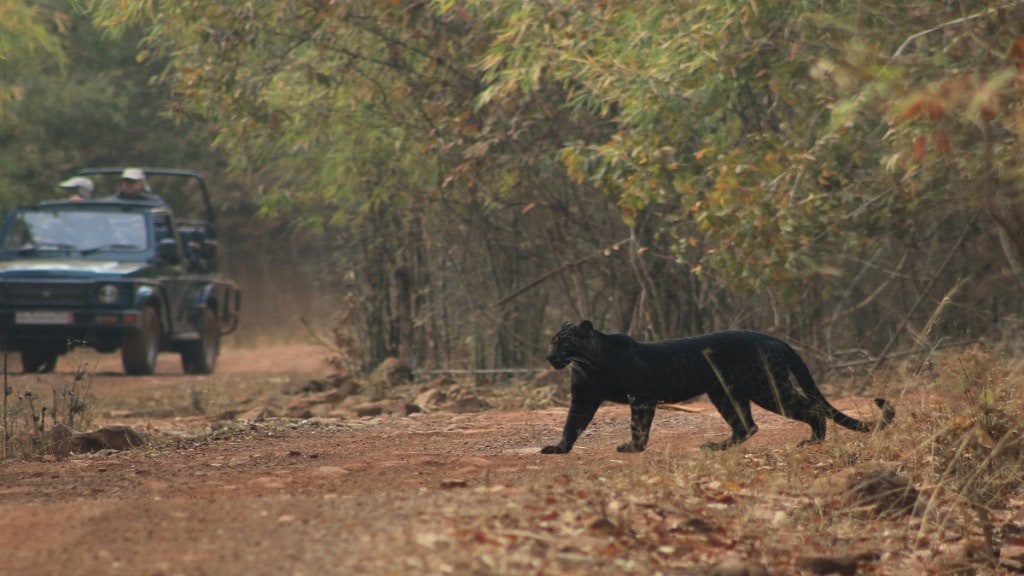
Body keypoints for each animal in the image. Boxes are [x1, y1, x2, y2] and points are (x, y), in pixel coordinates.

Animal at [540, 319, 892, 450]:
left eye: (565, 342)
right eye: (553, 341)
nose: (550, 357)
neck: (592, 367)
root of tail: (773, 338)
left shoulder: (642, 396)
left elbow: (639, 424)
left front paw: (633, 448)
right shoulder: (583, 399)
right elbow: (572, 425)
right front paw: (558, 449)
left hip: (765, 388)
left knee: (811, 410)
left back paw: (813, 441)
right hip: (725, 393)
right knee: (747, 425)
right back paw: (718, 446)